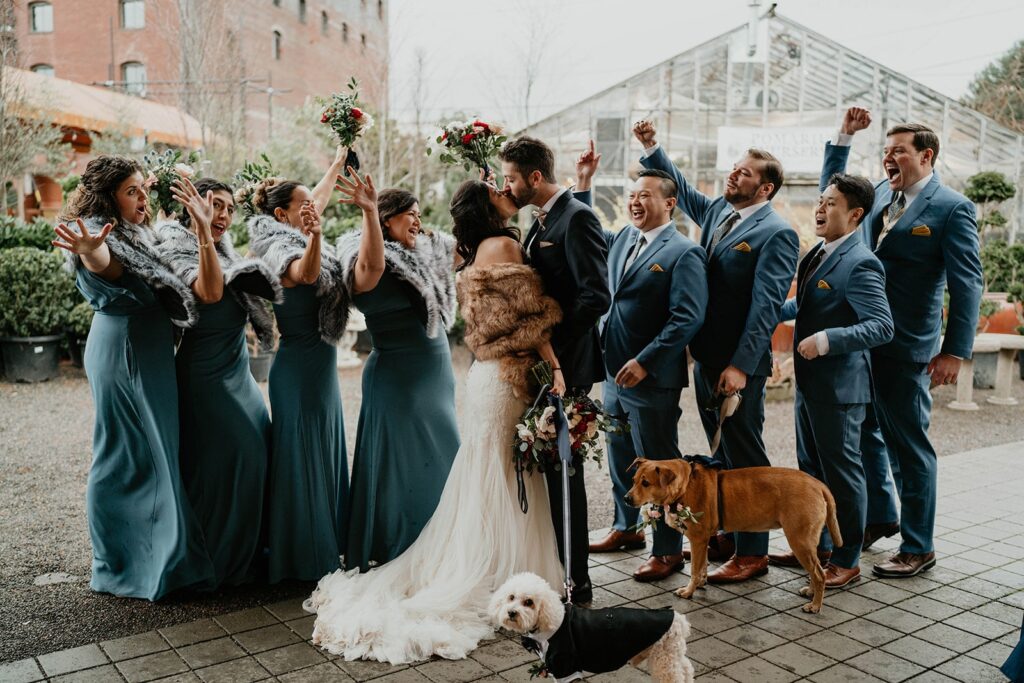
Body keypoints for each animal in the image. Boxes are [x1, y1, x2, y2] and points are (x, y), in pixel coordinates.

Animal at [489, 573, 696, 679]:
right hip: (672, 656)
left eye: (529, 602)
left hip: (664, 662)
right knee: (686, 670)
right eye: (511, 597)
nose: (511, 613)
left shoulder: (566, 667)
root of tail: (678, 620)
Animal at [626, 458, 843, 614]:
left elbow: (694, 569)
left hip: (799, 541)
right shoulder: (703, 541)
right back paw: (811, 592)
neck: (686, 484)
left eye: (646, 483)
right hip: (807, 543)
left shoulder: (697, 539)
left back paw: (815, 605)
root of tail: (818, 484)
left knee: (819, 574)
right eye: (634, 480)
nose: (626, 498)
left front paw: (689, 591)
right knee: (815, 572)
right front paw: (701, 583)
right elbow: (702, 566)